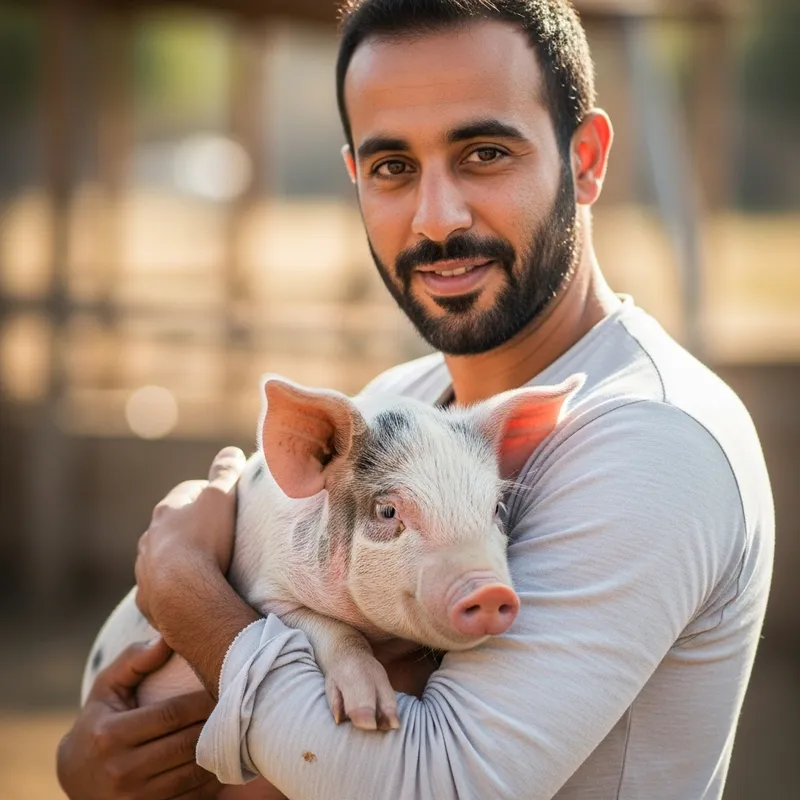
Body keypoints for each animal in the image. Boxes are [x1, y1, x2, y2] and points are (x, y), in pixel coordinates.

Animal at [81, 372, 582, 791]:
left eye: (496, 509)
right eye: (388, 511)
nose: (490, 590)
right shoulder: (261, 594)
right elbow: (331, 629)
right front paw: (372, 718)